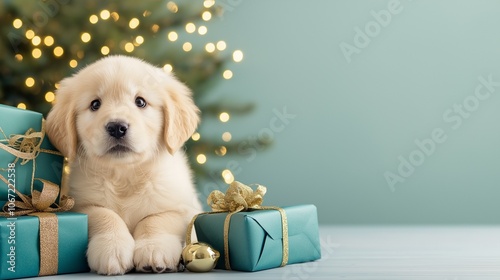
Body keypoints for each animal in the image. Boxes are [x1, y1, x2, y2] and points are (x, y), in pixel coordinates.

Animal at [46, 55, 202, 274]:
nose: (117, 127)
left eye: (140, 102)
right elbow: (104, 214)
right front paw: (112, 249)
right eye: (95, 104)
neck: (124, 176)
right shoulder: (80, 204)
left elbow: (156, 219)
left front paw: (153, 249)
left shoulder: (183, 208)